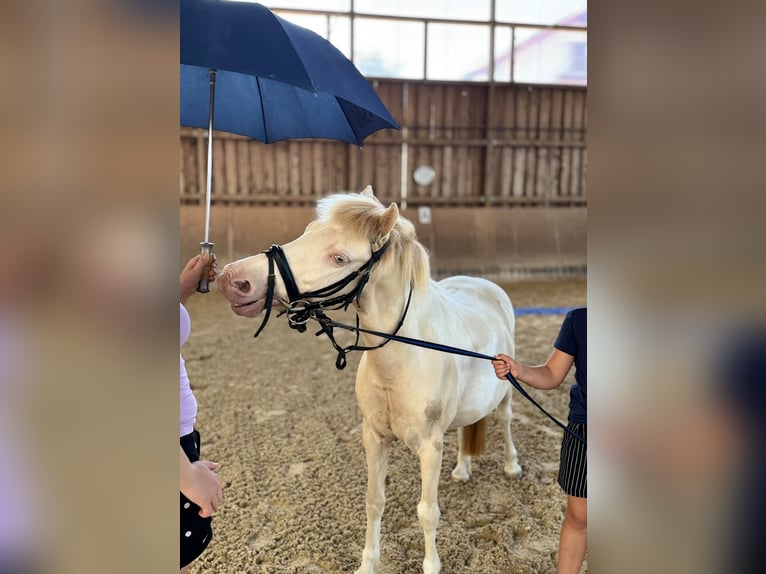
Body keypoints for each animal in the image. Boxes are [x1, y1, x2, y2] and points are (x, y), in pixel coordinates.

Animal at [217, 186, 522, 574]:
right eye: (307, 232)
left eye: (339, 258)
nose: (233, 279)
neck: (405, 359)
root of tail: (483, 284)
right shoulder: (374, 438)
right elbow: (374, 501)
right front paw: (367, 564)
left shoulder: (429, 447)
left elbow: (427, 513)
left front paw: (431, 565)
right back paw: (462, 469)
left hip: (506, 392)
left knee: (506, 420)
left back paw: (512, 466)